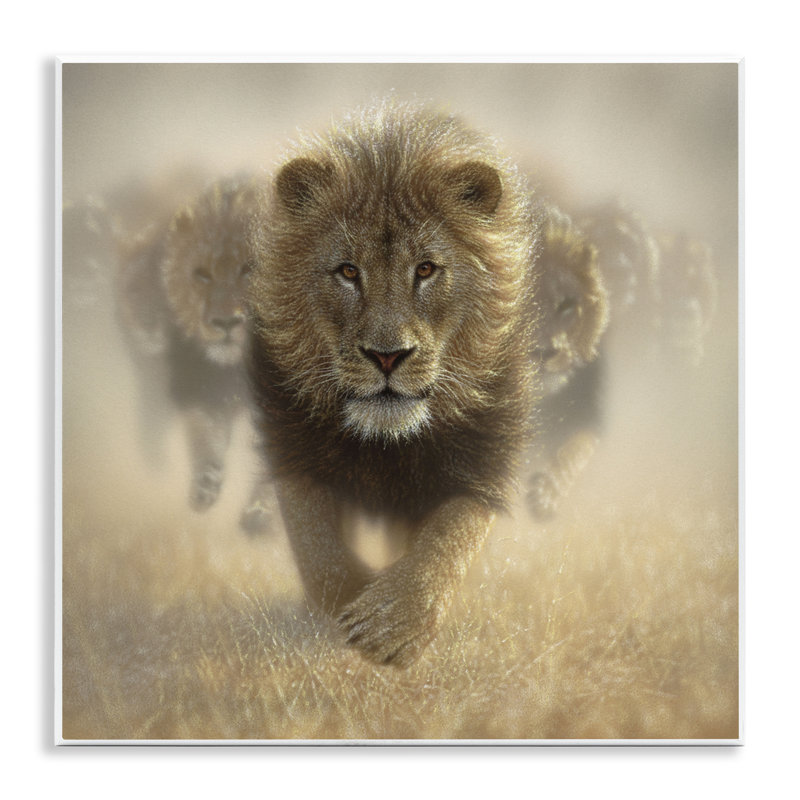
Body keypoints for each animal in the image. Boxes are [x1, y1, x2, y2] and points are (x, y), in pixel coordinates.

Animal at [116, 175, 275, 532]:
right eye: (202, 274)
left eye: (249, 269)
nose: (225, 322)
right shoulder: (201, 387)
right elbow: (205, 437)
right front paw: (204, 488)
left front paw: (260, 513)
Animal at [247, 101, 542, 666]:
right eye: (347, 271)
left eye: (425, 269)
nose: (387, 356)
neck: (387, 443)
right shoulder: (292, 442)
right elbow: (318, 550)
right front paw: (353, 601)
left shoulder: (484, 459)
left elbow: (449, 539)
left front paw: (392, 622)